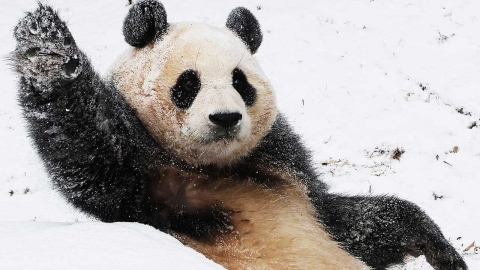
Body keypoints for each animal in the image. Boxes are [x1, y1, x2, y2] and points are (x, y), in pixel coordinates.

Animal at [11, 2, 466, 270]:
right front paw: (46, 48)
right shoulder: (145, 188)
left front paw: (440, 250)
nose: (226, 118)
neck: (211, 167)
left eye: (240, 81)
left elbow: (350, 224)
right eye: (188, 83)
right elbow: (93, 157)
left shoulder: (285, 167)